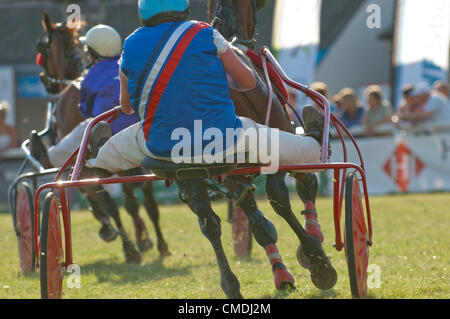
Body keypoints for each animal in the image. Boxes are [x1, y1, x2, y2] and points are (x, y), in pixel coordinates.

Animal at [36, 13, 171, 262]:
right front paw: (142, 239)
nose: (44, 79)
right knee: (146, 201)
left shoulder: (86, 164)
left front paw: (123, 240)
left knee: (122, 202)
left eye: (43, 48)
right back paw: (159, 243)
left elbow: (102, 201)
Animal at [208, 0, 338, 292]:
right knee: (280, 197)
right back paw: (316, 257)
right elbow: (305, 183)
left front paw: (283, 272)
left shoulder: (234, 176)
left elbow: (259, 224)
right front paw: (313, 241)